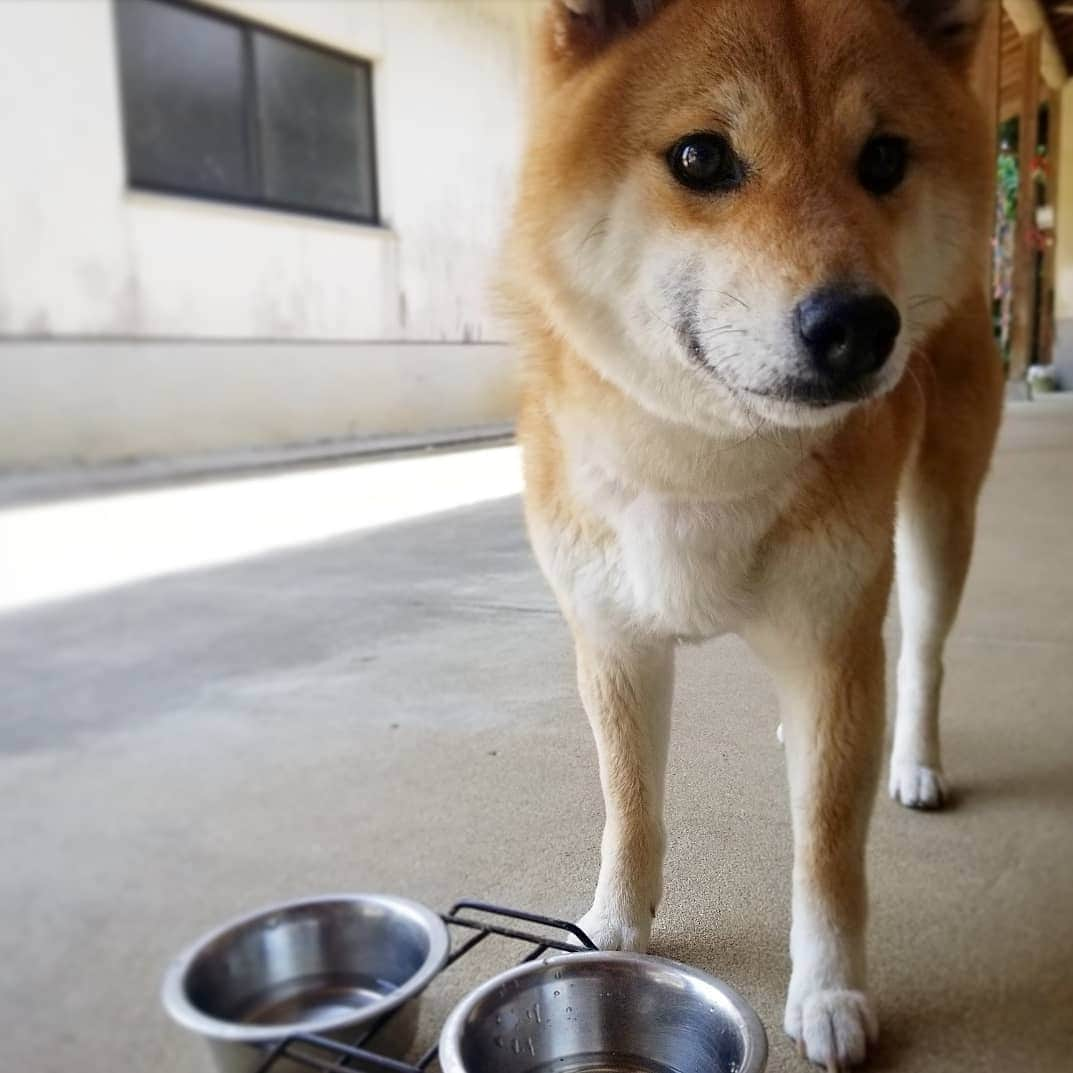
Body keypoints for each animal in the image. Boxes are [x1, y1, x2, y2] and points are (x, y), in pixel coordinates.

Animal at [502, 0, 1004, 1064]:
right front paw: (614, 923)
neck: (702, 458)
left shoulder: (829, 638)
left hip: (936, 523)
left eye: (884, 157)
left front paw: (830, 991)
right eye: (700, 157)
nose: (859, 326)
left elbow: (826, 848)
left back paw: (913, 759)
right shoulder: (613, 638)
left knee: (920, 655)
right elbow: (628, 799)